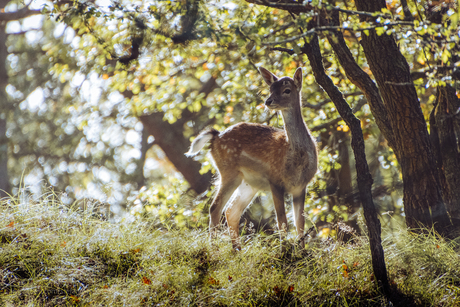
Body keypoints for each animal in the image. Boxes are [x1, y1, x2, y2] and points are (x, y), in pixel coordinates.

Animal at [185, 67, 318, 250]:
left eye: (287, 90)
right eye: (271, 89)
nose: (268, 101)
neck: (297, 158)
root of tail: (215, 137)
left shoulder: (301, 186)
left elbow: (300, 222)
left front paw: (302, 251)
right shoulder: (275, 180)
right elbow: (282, 221)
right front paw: (285, 250)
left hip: (249, 183)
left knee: (231, 210)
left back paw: (237, 249)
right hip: (228, 171)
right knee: (215, 207)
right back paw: (215, 248)